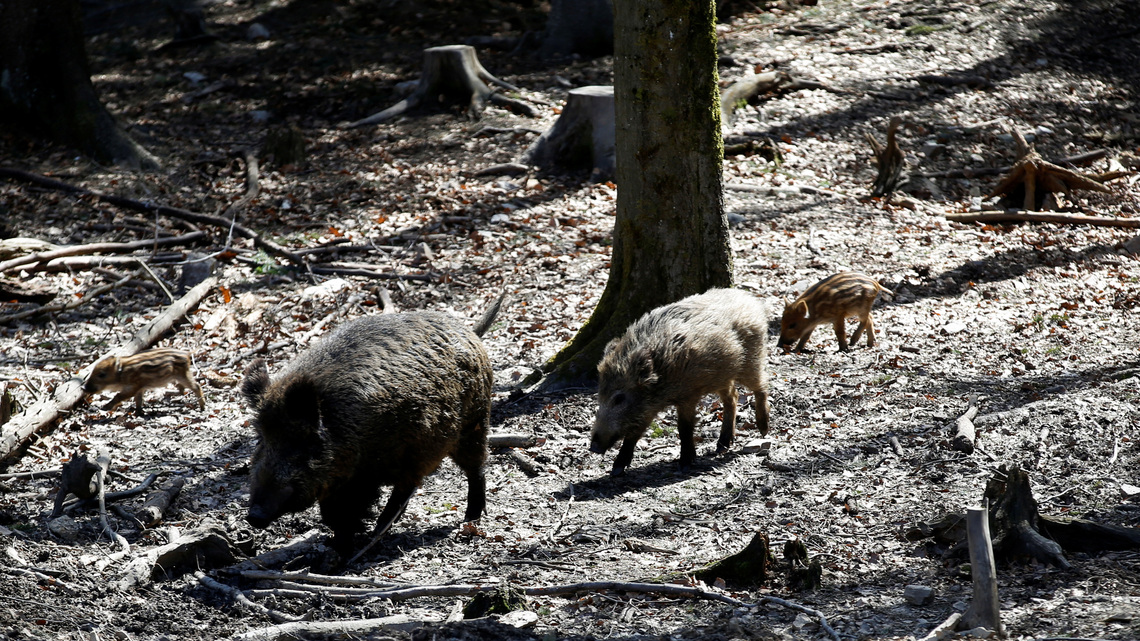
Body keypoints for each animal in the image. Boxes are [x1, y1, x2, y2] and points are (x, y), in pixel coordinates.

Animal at [240, 303, 499, 557]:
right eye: (260, 439)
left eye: (302, 443)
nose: (254, 516)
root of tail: (469, 332)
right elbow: (333, 516)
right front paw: (336, 546)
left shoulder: (362, 475)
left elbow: (343, 514)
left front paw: (343, 551)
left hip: (474, 422)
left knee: (473, 470)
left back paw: (468, 519)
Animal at [590, 288, 771, 476]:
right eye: (600, 396)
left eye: (619, 398)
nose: (594, 447)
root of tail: (751, 300)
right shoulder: (647, 407)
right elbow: (634, 433)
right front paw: (616, 469)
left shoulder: (688, 395)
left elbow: (684, 428)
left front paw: (685, 464)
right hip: (723, 377)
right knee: (733, 397)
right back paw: (721, 446)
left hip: (751, 361)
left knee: (762, 384)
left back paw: (763, 429)